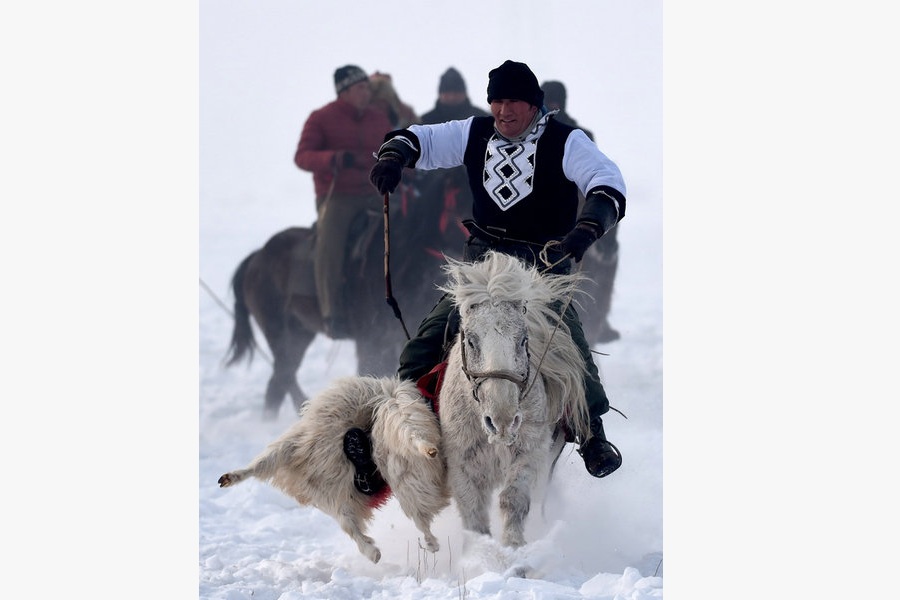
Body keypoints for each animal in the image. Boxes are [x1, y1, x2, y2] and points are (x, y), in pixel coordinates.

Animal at [436, 250, 592, 548]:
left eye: (522, 340)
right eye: (471, 340)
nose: (503, 421)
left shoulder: (531, 453)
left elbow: (513, 500)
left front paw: (514, 552)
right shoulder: (460, 463)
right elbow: (473, 516)